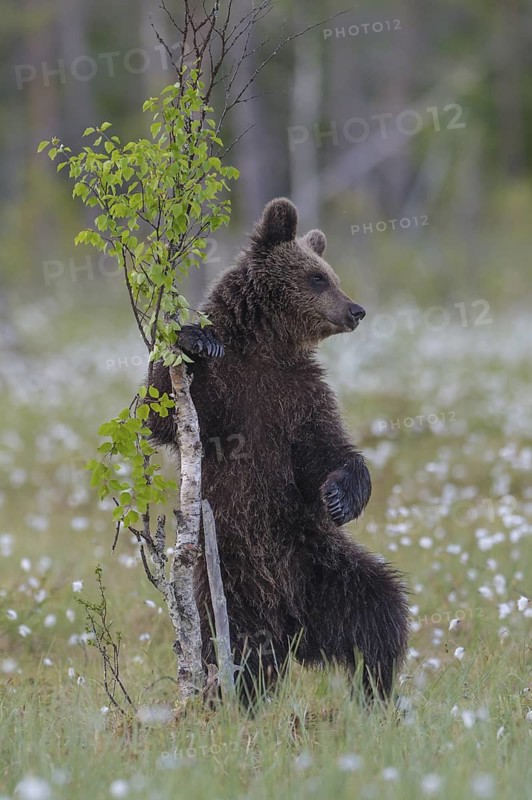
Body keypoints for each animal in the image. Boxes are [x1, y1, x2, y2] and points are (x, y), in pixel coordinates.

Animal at [149, 198, 409, 703]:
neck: (266, 347)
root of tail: (293, 625)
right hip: (231, 578)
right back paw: (235, 697)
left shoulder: (299, 394)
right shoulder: (227, 397)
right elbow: (162, 410)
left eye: (331, 273)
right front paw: (193, 338)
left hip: (319, 561)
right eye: (317, 277)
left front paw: (341, 496)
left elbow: (326, 448)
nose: (356, 309)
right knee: (236, 647)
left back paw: (375, 691)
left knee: (379, 610)